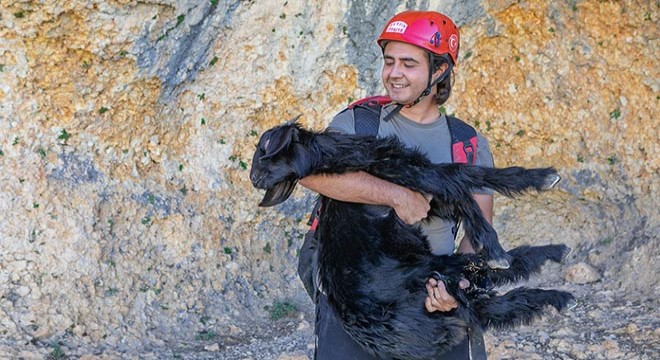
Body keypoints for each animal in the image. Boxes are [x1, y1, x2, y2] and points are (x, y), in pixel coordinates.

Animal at [250, 119, 576, 358]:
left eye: (263, 151)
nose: (253, 179)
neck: (339, 158)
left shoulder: (426, 189)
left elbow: (476, 173)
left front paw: (539, 177)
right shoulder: (420, 181)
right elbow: (464, 187)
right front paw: (494, 243)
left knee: (488, 286)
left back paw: (554, 252)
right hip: (435, 271)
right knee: (495, 292)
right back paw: (553, 289)